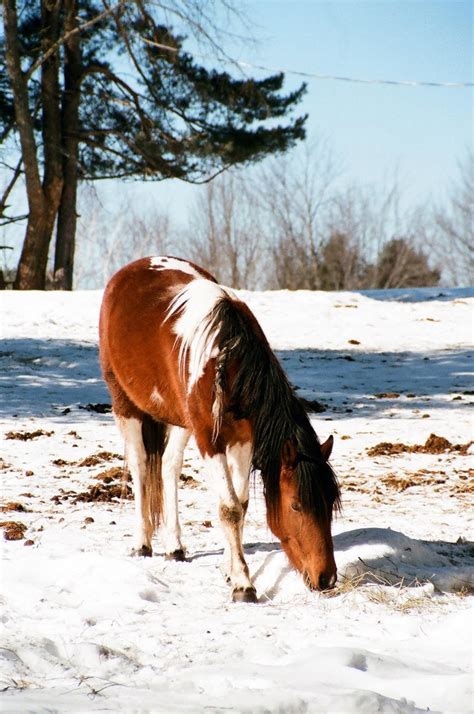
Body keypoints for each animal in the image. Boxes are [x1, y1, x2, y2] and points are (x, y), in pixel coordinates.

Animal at [99, 256, 340, 600]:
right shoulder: (209, 440)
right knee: (141, 468)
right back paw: (142, 543)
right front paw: (242, 582)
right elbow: (228, 508)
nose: (326, 578)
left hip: (179, 418)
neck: (227, 356)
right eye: (296, 504)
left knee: (169, 466)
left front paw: (229, 569)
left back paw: (174, 546)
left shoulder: (243, 438)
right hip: (125, 404)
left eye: (330, 501)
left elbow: (240, 504)